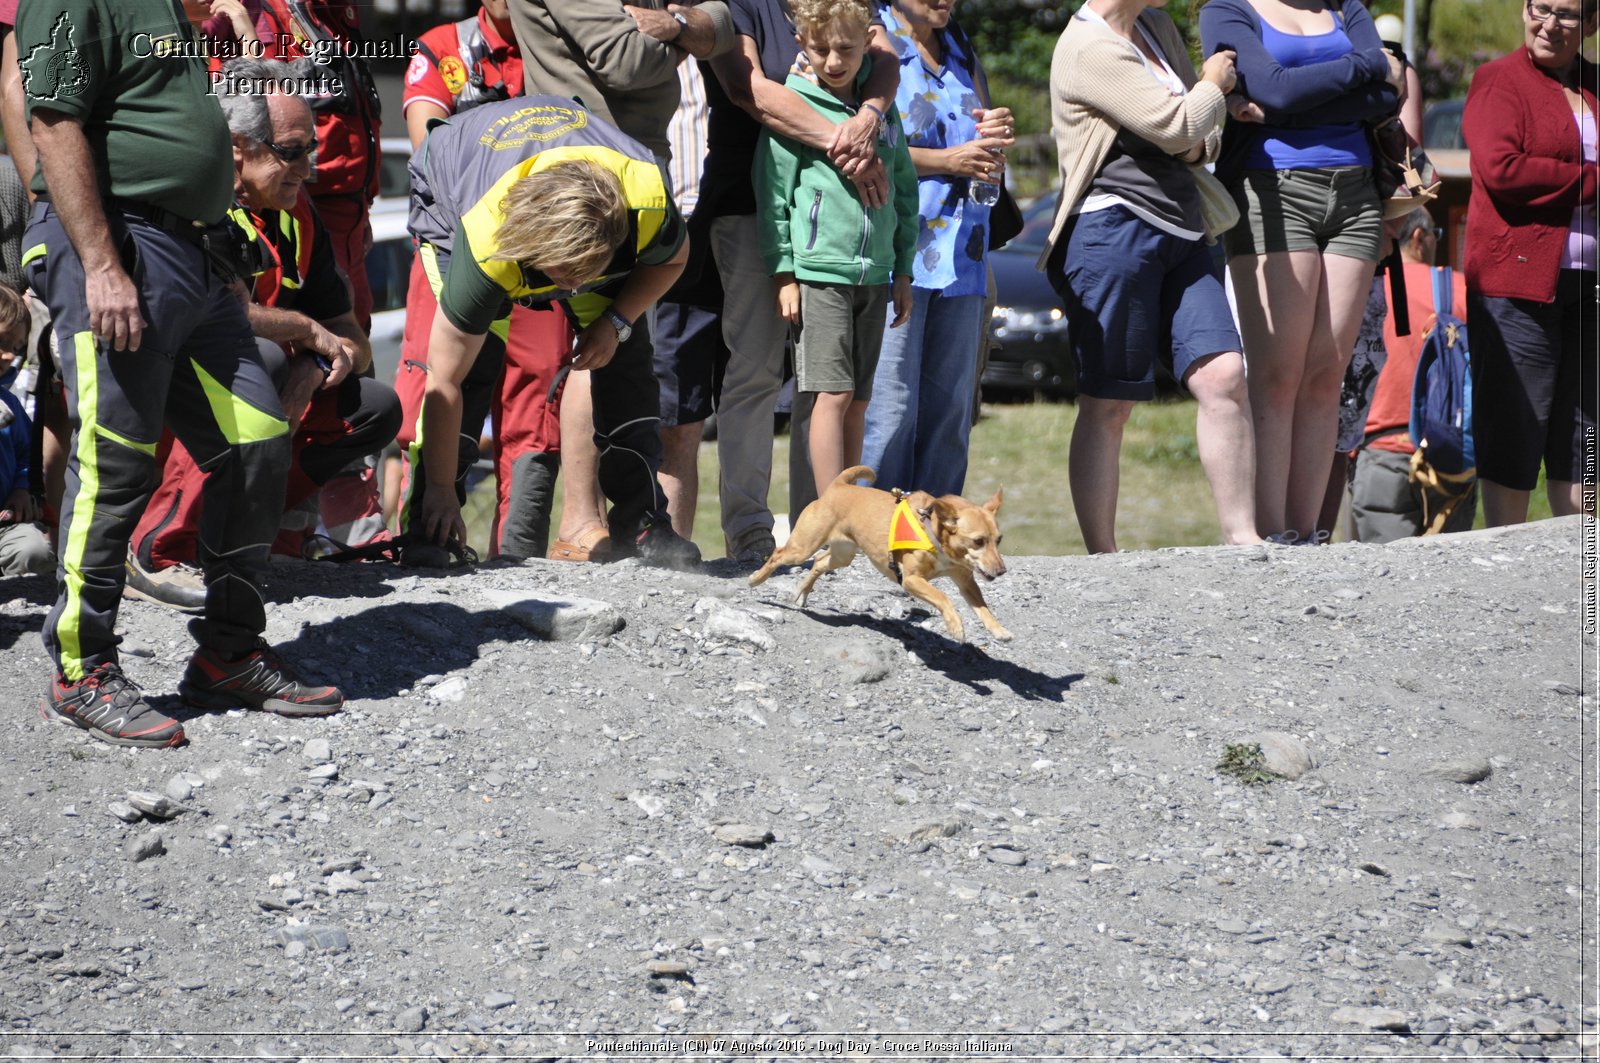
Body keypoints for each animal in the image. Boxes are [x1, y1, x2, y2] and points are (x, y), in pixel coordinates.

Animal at [748, 470, 1011, 643]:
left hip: (843, 554)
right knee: (778, 555)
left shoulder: (965, 580)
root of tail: (839, 485)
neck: (932, 532)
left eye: (998, 540)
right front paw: (956, 626)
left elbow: (982, 606)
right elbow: (942, 597)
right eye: (978, 541)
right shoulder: (911, 580)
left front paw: (998, 630)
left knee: (820, 563)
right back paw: (756, 579)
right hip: (803, 546)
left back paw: (802, 592)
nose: (1001, 571)